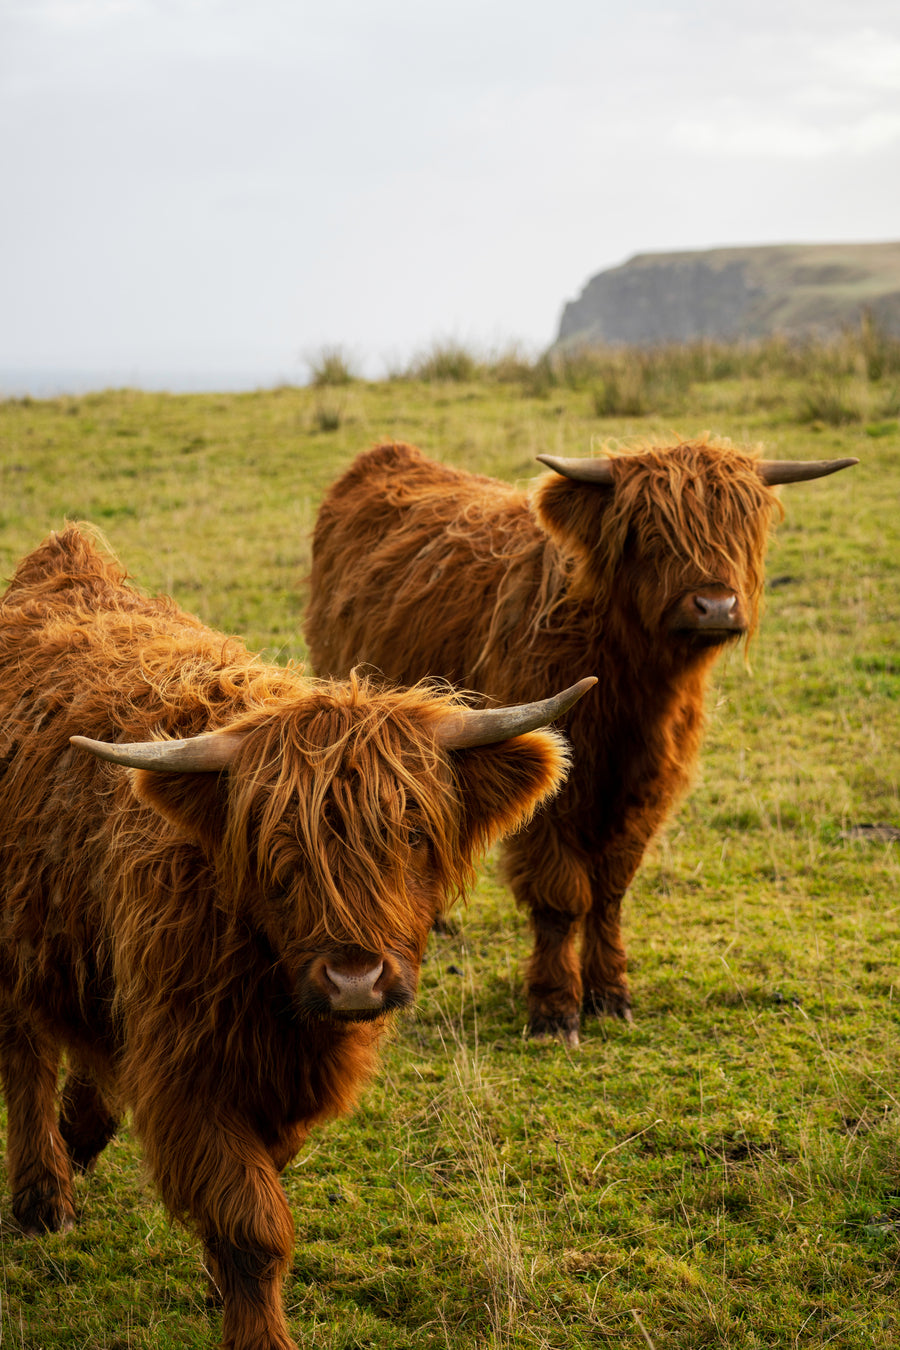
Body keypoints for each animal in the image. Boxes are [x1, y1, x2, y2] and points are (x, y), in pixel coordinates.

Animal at [0, 523, 591, 1350]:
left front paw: (217, 1281)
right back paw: (43, 1199)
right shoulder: (190, 1075)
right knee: (24, 1060)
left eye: (413, 833)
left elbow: (258, 1192)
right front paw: (255, 1327)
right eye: (278, 851)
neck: (274, 997)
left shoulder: (281, 1083)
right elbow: (251, 1224)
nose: (354, 979)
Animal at [304, 434, 858, 1042]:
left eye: (744, 524)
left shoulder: (647, 787)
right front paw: (554, 1008)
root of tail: (389, 454)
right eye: (651, 531)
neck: (631, 685)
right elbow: (561, 896)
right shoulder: (551, 793)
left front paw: (610, 993)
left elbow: (610, 890)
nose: (715, 606)